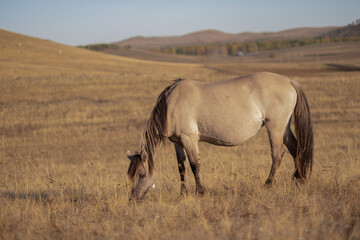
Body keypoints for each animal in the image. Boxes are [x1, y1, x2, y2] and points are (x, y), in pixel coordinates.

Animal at [126, 71, 312, 201]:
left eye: (141, 174)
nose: (132, 199)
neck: (171, 104)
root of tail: (289, 81)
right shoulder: (177, 142)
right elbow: (181, 167)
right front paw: (183, 193)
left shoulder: (189, 139)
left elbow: (194, 165)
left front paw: (200, 192)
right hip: (284, 128)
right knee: (295, 149)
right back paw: (299, 179)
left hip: (275, 128)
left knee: (278, 154)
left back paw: (268, 184)